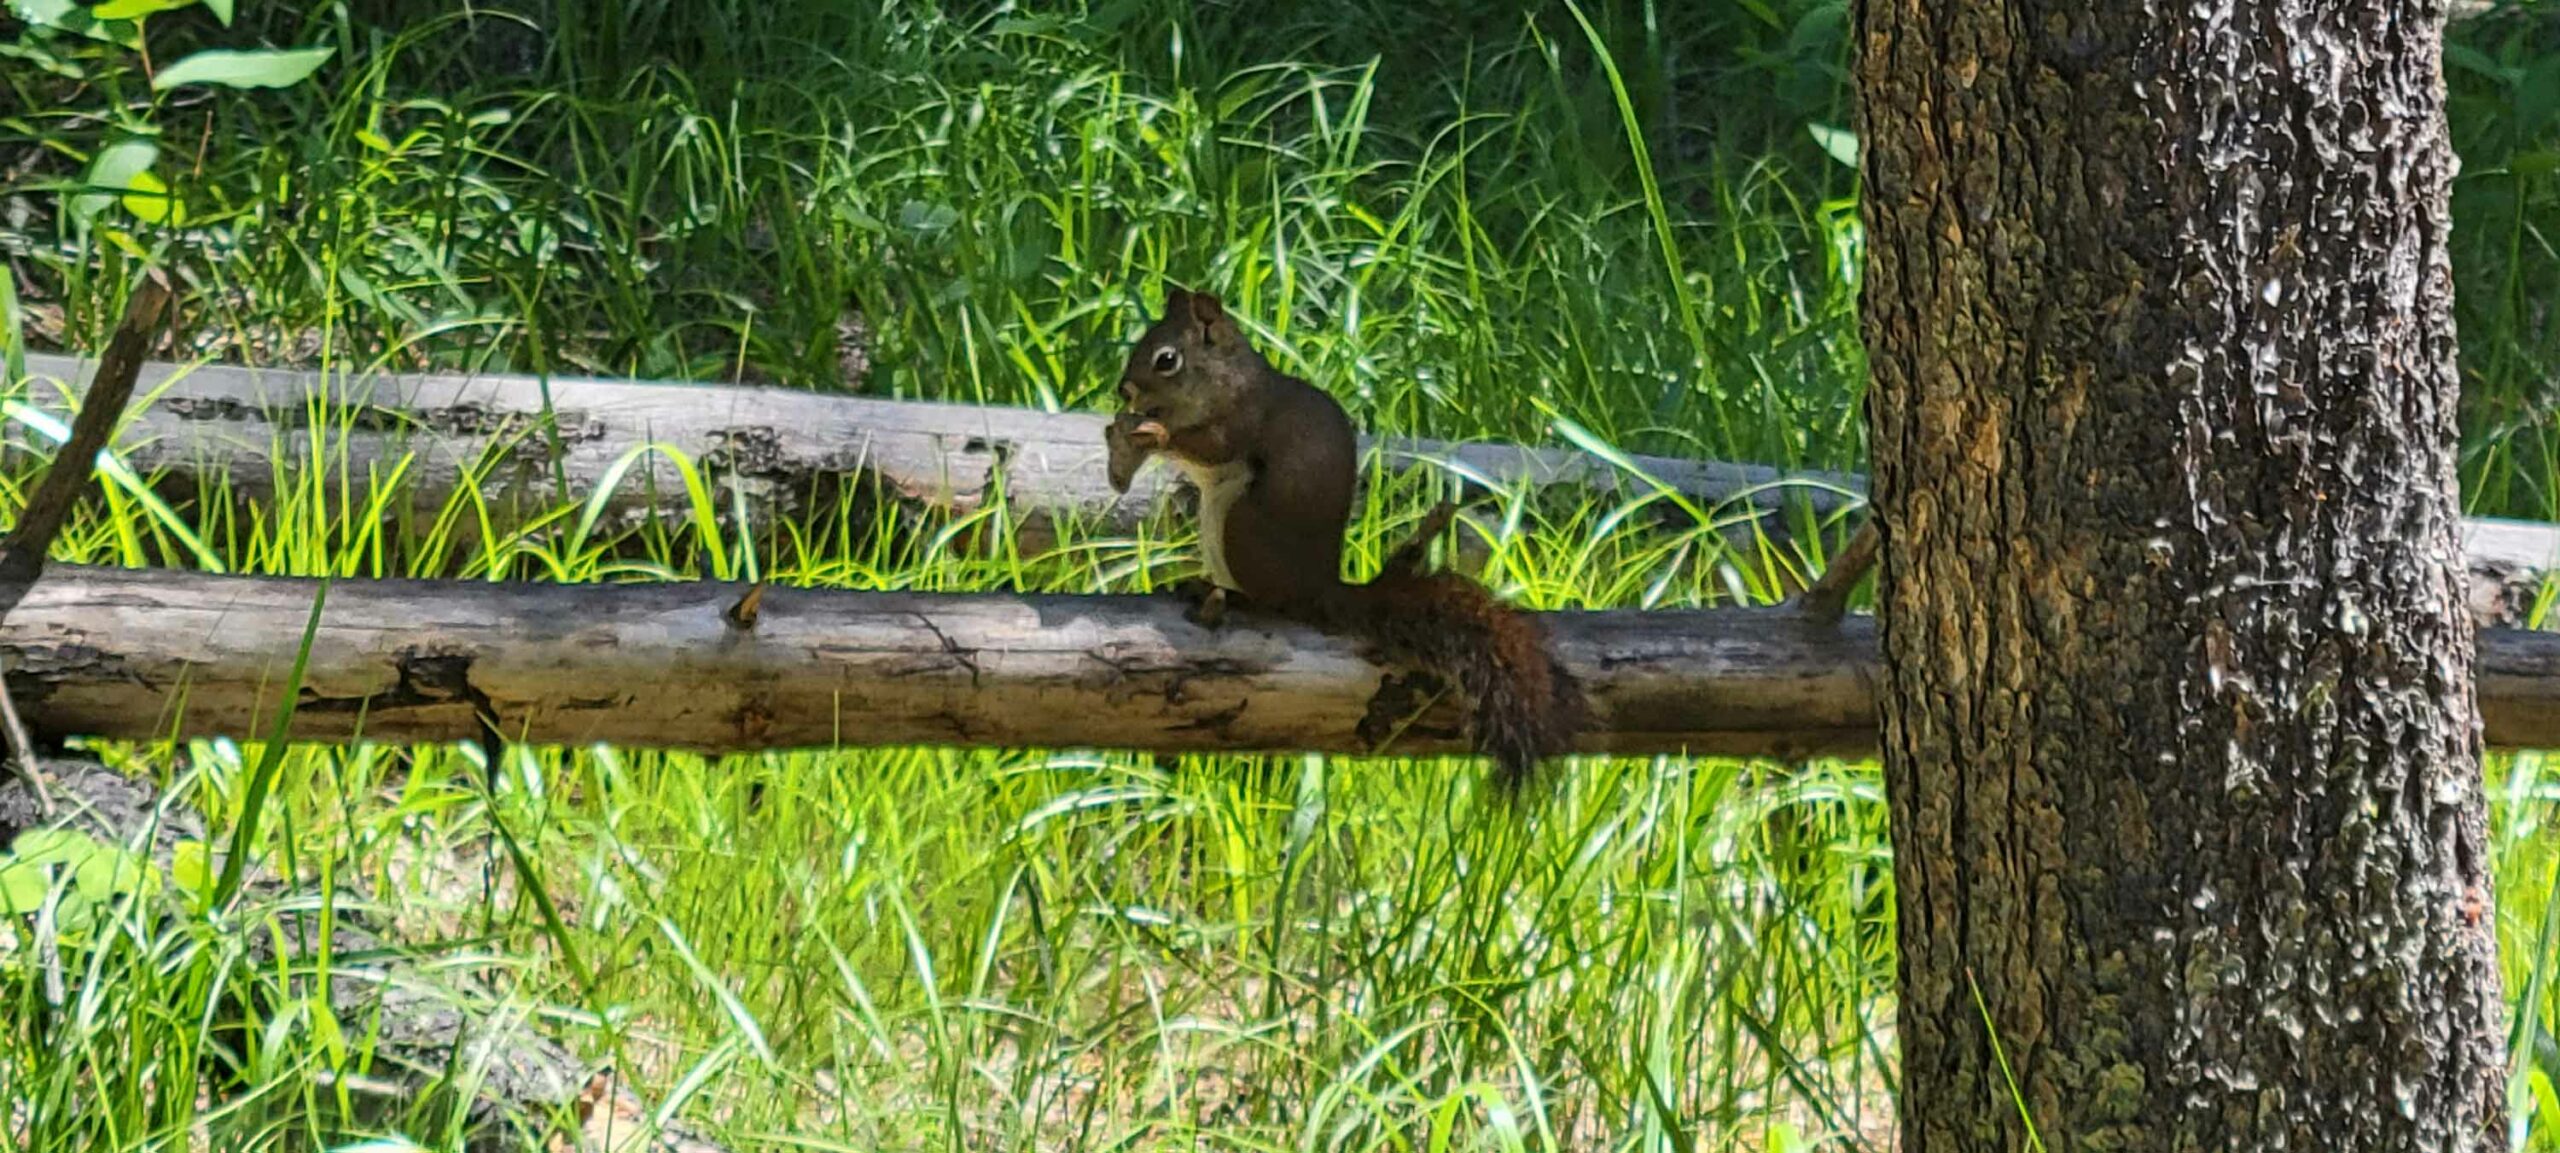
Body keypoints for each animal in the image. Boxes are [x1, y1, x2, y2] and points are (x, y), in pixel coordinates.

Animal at [1104, 288, 1588, 794]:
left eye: (1167, 360)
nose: (1124, 389)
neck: (1225, 380)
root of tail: (1321, 589)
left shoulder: (1240, 422)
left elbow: (1209, 446)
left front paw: (1154, 433)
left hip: (1239, 527)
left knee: (1270, 605)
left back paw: (1225, 596)